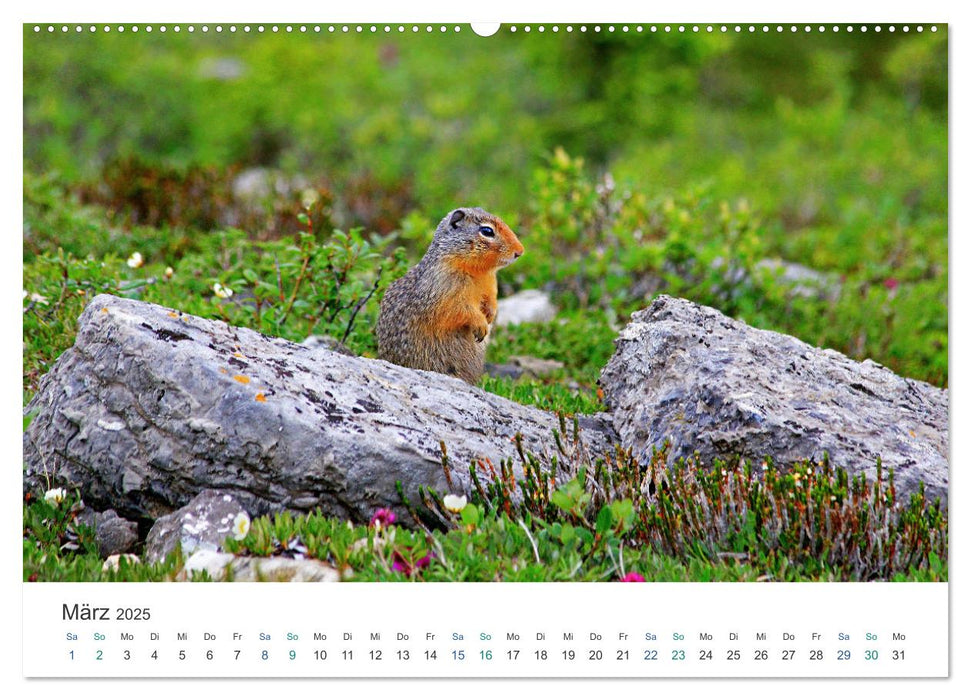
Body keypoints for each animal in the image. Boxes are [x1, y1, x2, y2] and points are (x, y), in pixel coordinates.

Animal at [376, 208, 524, 382]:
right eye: (487, 231)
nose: (520, 251)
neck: (478, 272)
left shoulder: (490, 286)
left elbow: (492, 300)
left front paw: (490, 315)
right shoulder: (445, 291)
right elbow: (459, 309)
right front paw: (481, 324)